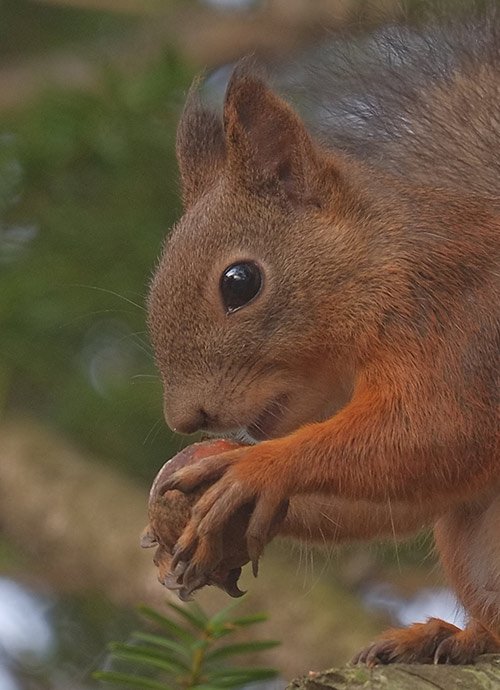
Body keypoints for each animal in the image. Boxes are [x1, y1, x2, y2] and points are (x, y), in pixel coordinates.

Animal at [146, 10, 498, 664]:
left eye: (240, 282)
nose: (186, 420)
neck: (388, 267)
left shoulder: (465, 329)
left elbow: (441, 430)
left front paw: (256, 467)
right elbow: (412, 489)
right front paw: (178, 496)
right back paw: (446, 638)